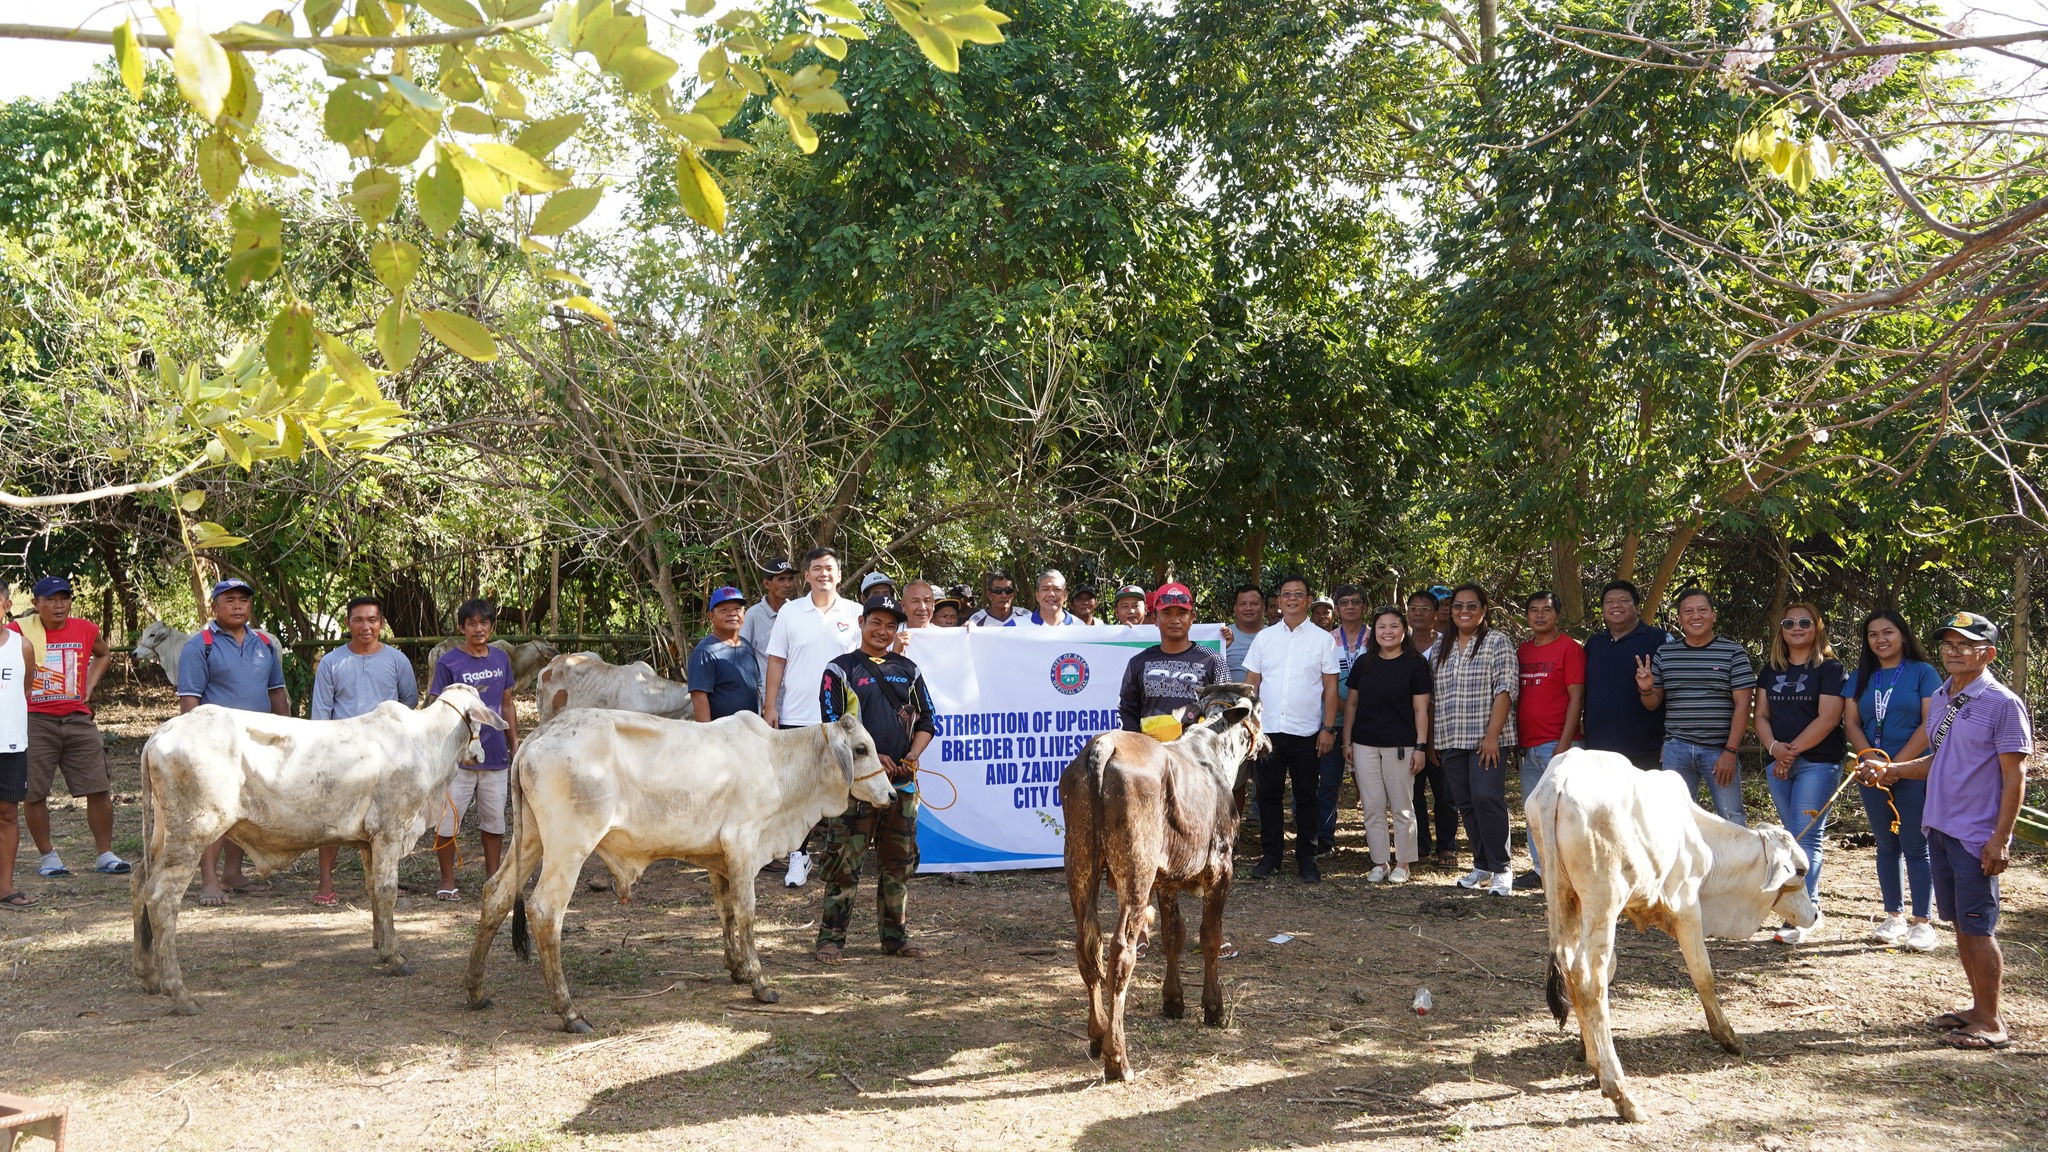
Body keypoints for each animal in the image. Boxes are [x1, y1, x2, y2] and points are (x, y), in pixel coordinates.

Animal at [132, 676, 507, 1008]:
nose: (481, 755)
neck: (425, 743)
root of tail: (161, 733)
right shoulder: (389, 831)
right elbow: (387, 892)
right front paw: (396, 958)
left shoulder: (369, 842)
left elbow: (373, 891)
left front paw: (379, 946)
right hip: (192, 833)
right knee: (161, 897)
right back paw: (179, 993)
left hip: (162, 833)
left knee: (139, 882)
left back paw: (148, 976)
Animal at [466, 705, 897, 1024]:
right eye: (860, 749)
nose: (892, 794)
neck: (778, 762)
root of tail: (536, 737)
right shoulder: (742, 843)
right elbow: (746, 912)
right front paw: (759, 984)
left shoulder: (718, 858)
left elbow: (725, 911)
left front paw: (737, 969)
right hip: (568, 846)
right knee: (544, 912)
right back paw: (569, 1012)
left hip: (531, 841)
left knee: (496, 894)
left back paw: (476, 992)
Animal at [1056, 680, 1261, 1074]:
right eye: (1258, 707)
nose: (1268, 742)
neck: (1211, 752)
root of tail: (1102, 745)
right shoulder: (1222, 869)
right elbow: (1209, 937)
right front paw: (1213, 1008)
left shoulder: (1166, 881)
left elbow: (1173, 935)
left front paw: (1173, 1001)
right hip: (1136, 873)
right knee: (1121, 952)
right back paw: (1118, 1059)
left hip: (1079, 863)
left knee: (1088, 947)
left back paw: (1097, 1036)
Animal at [1531, 746, 1818, 1115]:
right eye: (1800, 870)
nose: (1814, 913)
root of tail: (1560, 777)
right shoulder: (1687, 906)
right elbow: (1703, 974)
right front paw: (1729, 1038)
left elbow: (1611, 970)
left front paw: (1588, 1054)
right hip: (1603, 900)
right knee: (1588, 979)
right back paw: (1621, 1094)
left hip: (1566, 897)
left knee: (1570, 968)